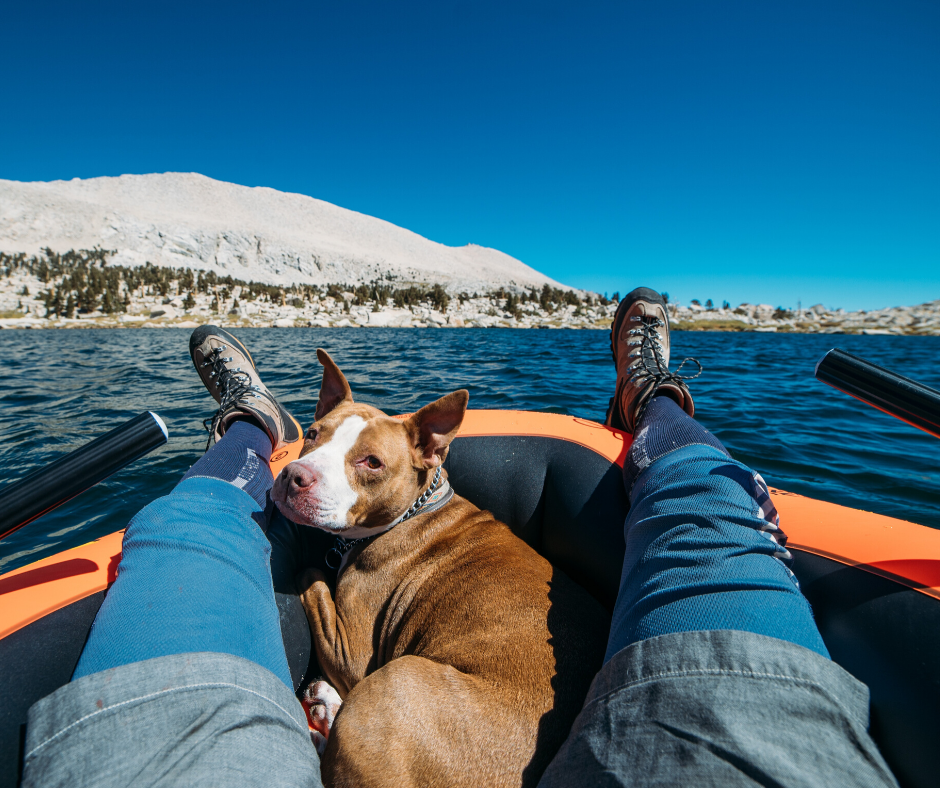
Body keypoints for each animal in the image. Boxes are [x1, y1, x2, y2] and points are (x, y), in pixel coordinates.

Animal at [272, 350, 608, 788]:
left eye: (372, 463)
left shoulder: (350, 652)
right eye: (312, 434)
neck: (415, 509)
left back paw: (324, 709)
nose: (294, 476)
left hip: (395, 684)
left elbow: (311, 578)